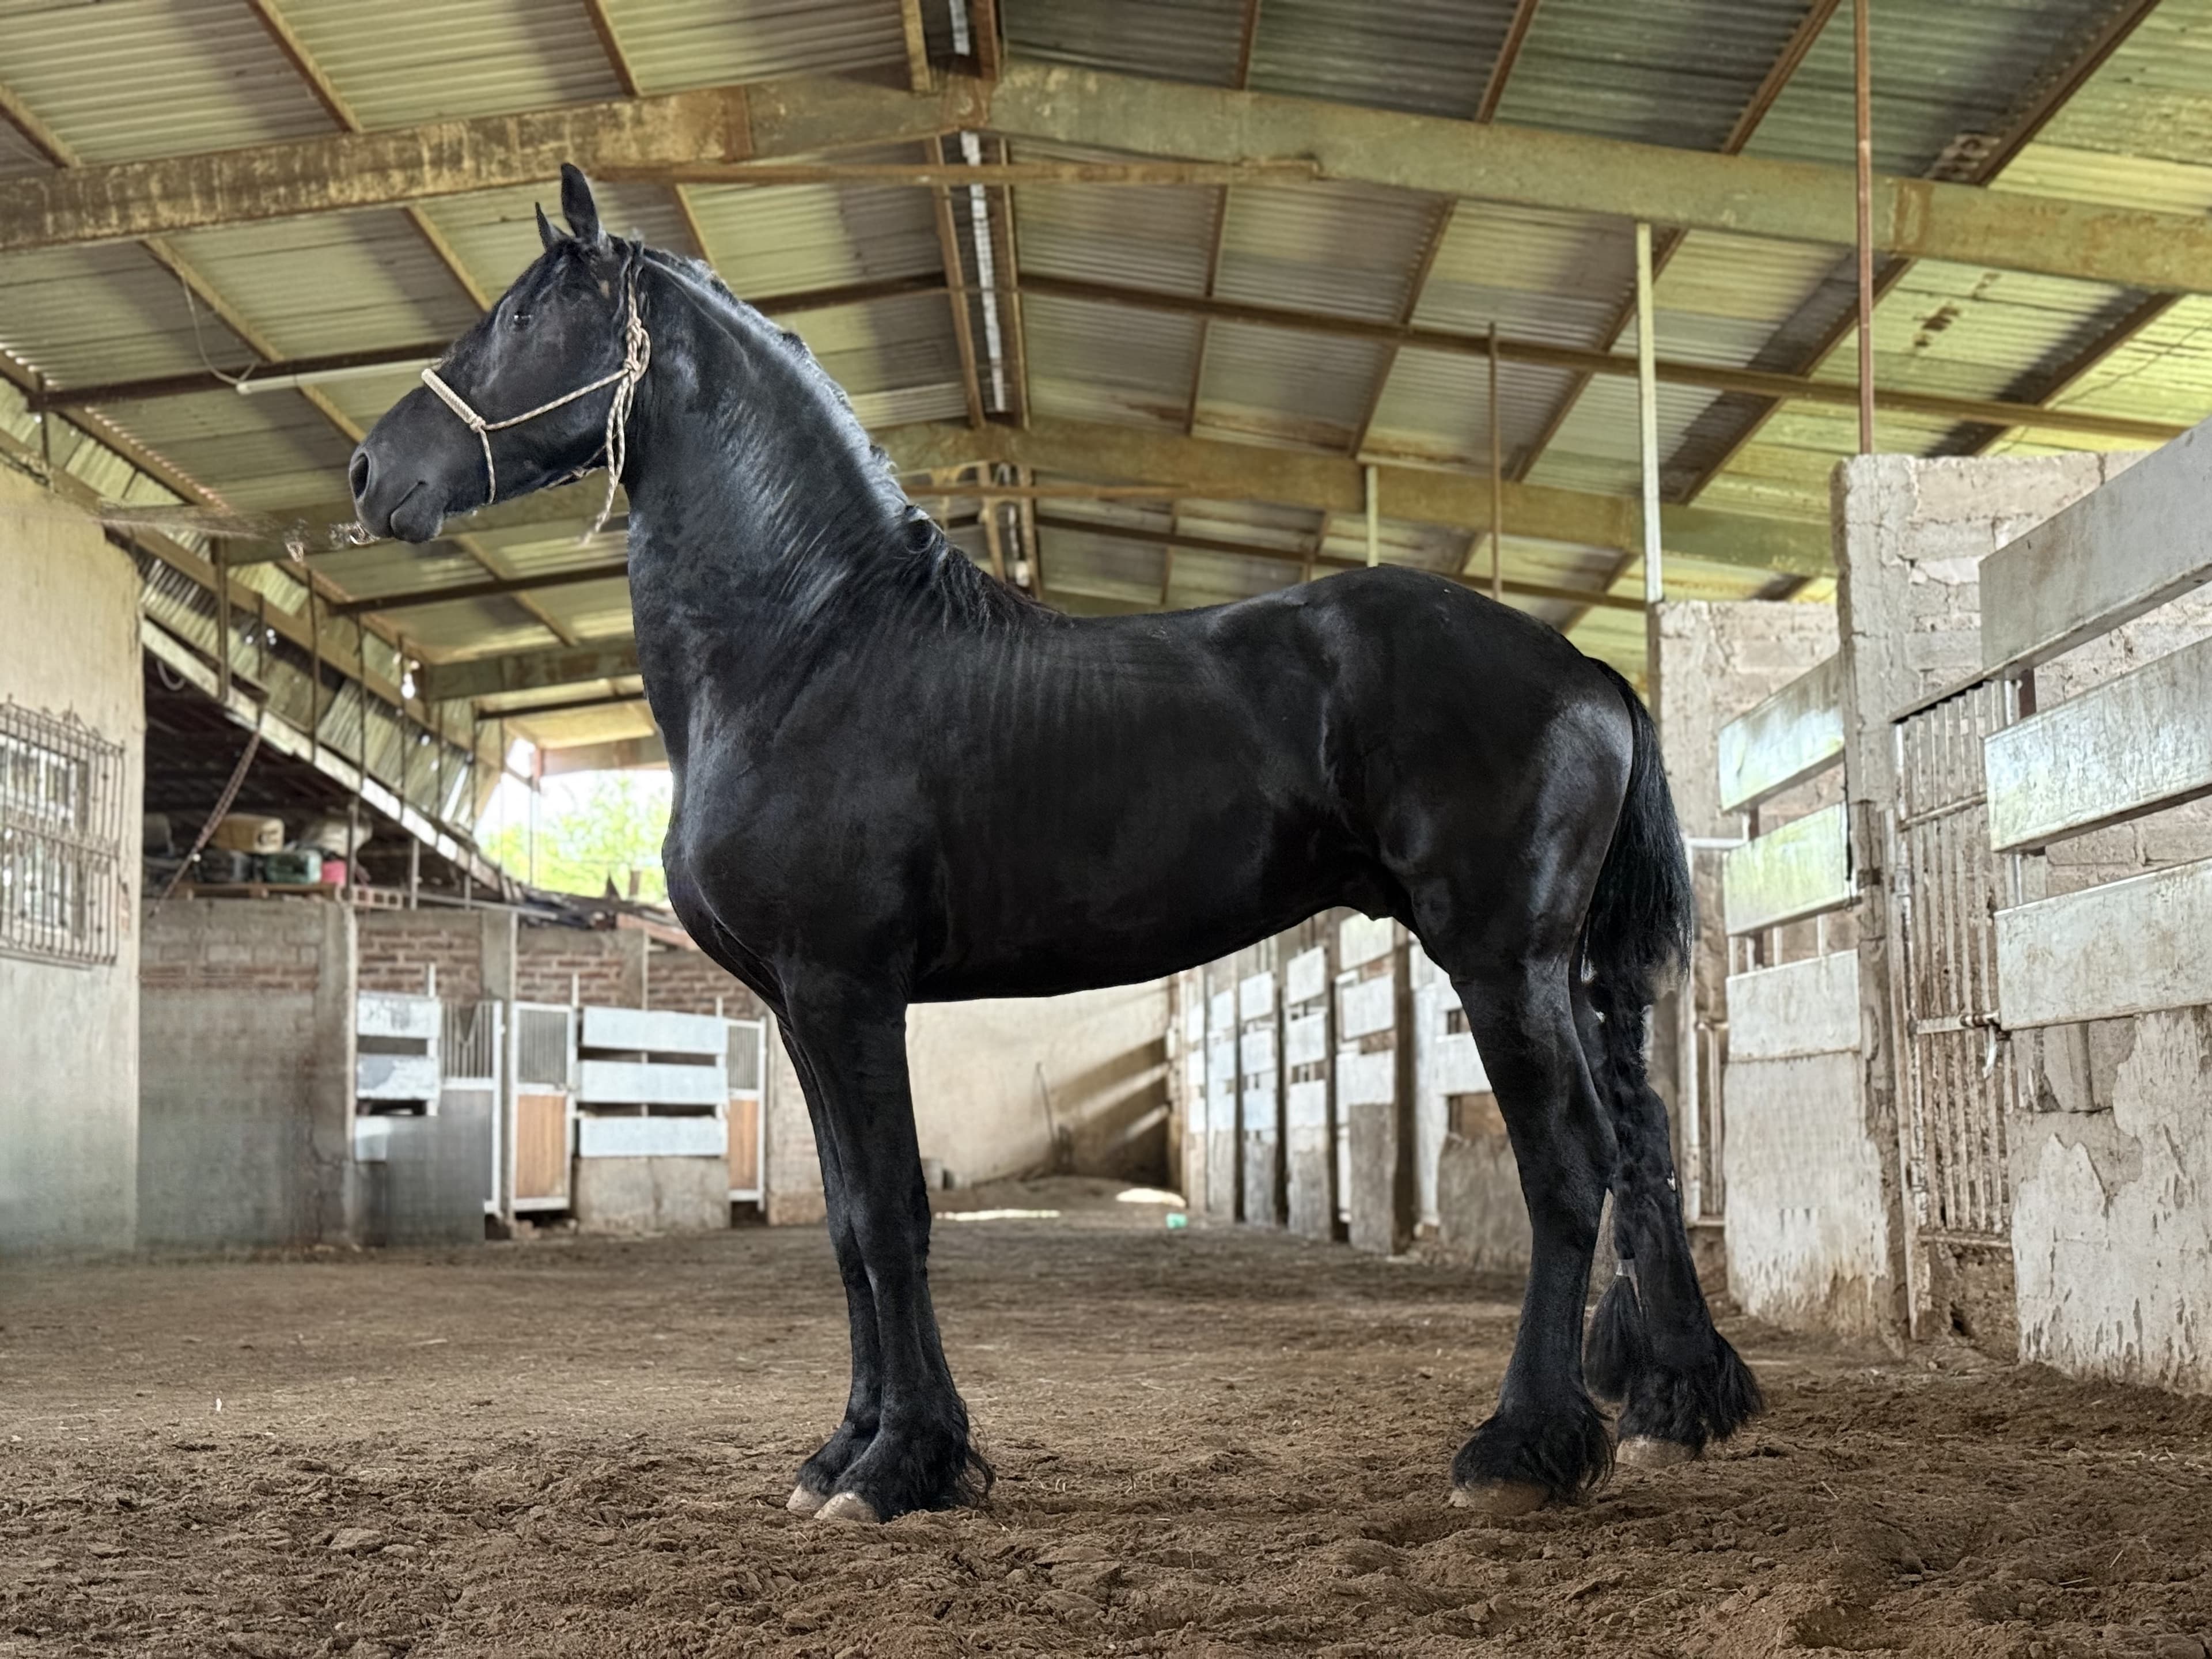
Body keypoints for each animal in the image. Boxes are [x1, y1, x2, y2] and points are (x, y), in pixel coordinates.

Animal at [349, 165, 1761, 1525]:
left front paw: (901, 1467)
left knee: (1568, 1169)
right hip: (1565, 972)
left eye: (521, 316)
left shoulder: (849, 991)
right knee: (1642, 1150)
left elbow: (893, 1215)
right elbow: (847, 1229)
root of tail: (1585, 667)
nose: (370, 474)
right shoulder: (800, 1009)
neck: (805, 643)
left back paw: (1522, 1450)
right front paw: (844, 1452)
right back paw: (1675, 1407)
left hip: (1499, 960)